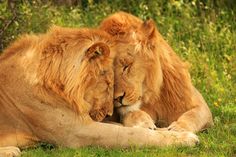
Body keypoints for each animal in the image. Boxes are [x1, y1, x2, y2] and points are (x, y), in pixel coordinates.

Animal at [0, 25, 200, 156]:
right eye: (109, 83)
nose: (109, 113)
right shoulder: (76, 132)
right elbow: (133, 134)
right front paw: (186, 138)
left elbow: (132, 128)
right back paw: (12, 150)